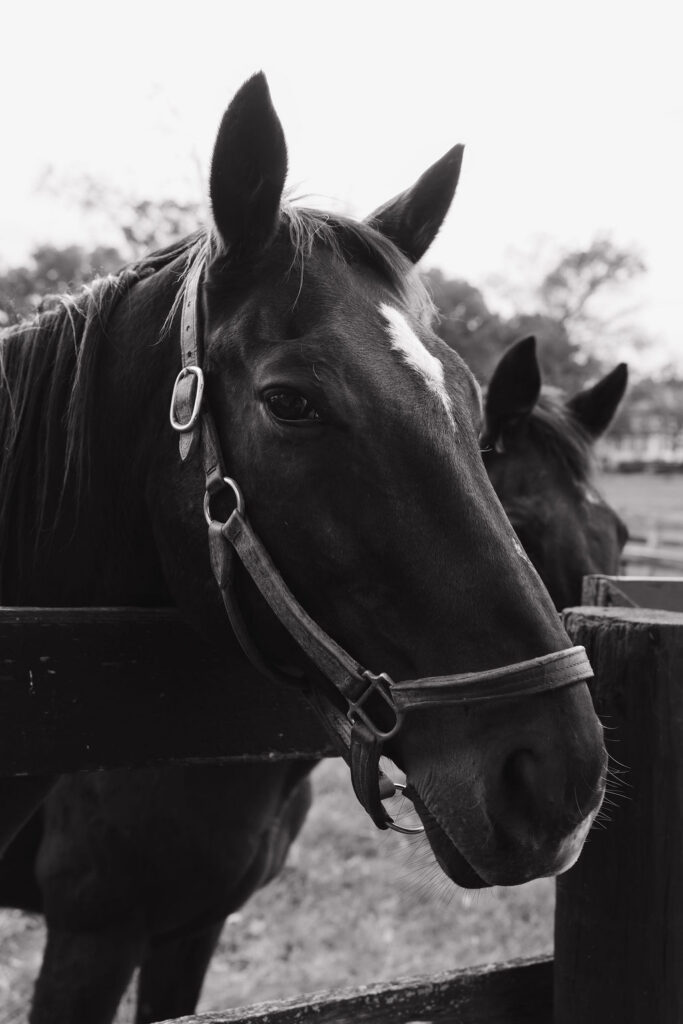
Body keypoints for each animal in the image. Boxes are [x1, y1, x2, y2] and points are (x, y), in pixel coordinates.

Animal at [0, 73, 606, 1023]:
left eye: (469, 412)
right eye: (291, 403)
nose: (554, 782)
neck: (51, 677)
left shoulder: (191, 928)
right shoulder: (91, 939)